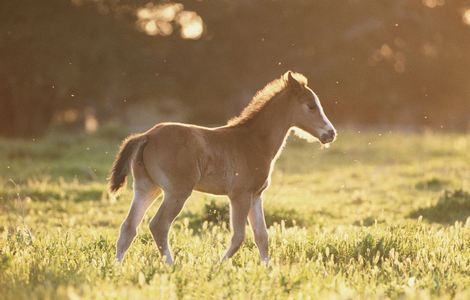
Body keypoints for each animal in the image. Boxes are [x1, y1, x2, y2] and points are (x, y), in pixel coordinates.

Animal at [109, 71, 338, 264]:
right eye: (311, 105)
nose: (330, 133)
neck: (254, 141)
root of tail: (147, 135)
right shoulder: (239, 195)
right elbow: (239, 236)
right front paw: (217, 266)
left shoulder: (256, 196)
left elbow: (262, 236)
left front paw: (268, 270)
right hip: (177, 191)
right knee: (158, 225)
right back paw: (171, 265)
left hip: (147, 188)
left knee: (128, 227)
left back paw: (117, 267)